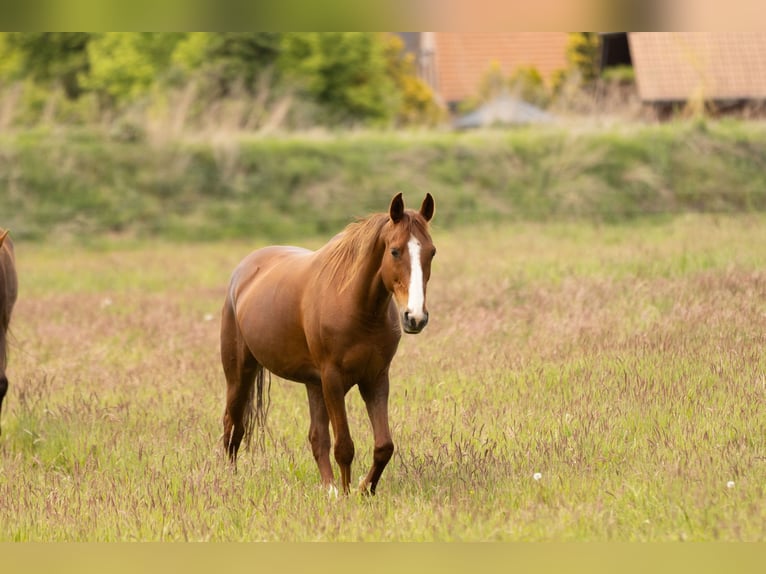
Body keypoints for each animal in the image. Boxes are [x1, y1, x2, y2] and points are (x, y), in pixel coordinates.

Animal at [221, 193, 436, 495]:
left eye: (431, 252)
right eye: (394, 251)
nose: (415, 317)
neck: (357, 307)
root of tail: (243, 271)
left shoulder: (375, 379)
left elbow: (384, 446)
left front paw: (363, 489)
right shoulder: (333, 379)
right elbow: (344, 445)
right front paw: (347, 494)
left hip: (313, 384)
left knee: (316, 437)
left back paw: (328, 488)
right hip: (240, 373)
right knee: (233, 426)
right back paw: (231, 480)